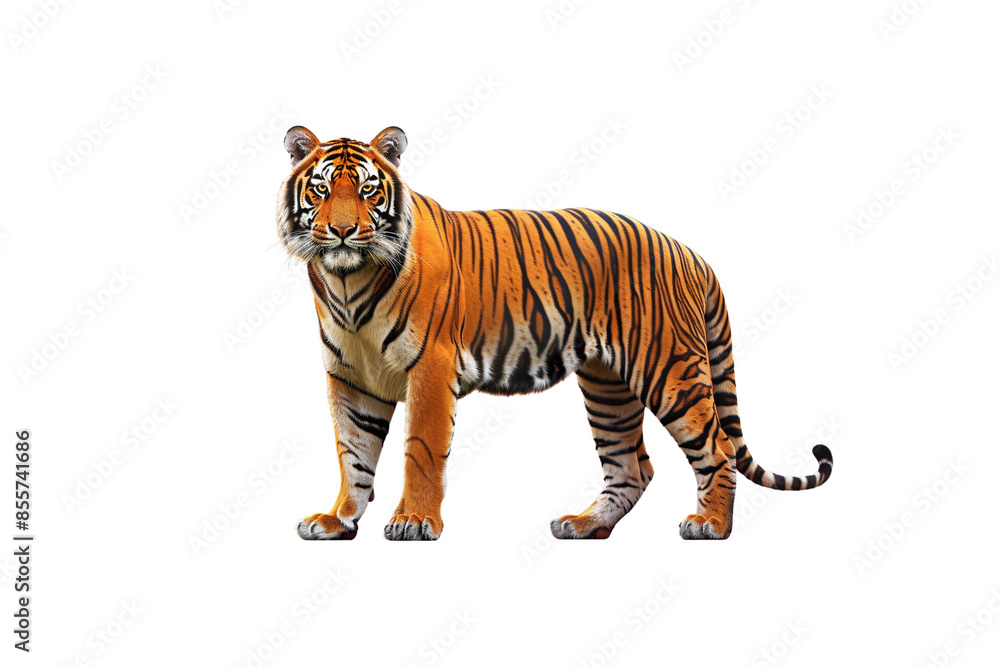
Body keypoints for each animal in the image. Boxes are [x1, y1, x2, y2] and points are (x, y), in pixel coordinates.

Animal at [277, 125, 833, 542]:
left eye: (368, 190)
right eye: (322, 189)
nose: (343, 231)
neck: (347, 281)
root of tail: (690, 253)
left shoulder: (429, 369)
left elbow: (421, 450)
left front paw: (413, 521)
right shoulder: (351, 378)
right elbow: (353, 453)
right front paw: (337, 519)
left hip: (670, 369)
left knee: (716, 447)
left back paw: (710, 525)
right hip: (608, 387)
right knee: (632, 467)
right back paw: (584, 525)